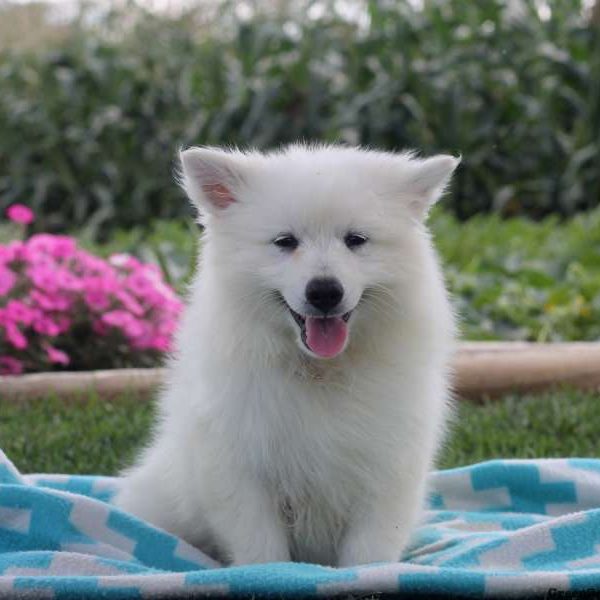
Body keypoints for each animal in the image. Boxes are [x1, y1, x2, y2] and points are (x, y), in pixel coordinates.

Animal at [113, 145, 460, 568]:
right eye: (285, 241)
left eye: (355, 240)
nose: (324, 292)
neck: (319, 371)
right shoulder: (241, 469)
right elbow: (261, 545)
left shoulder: (387, 468)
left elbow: (369, 548)